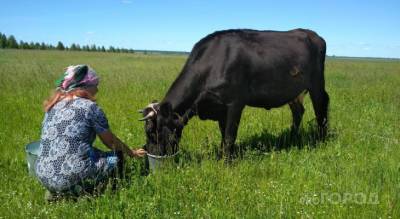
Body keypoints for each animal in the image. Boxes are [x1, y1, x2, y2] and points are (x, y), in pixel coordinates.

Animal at [139, 28, 330, 159]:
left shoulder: (235, 103)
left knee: (321, 106)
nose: (152, 155)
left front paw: (226, 163)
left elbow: (230, 136)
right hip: (294, 92)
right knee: (298, 111)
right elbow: (224, 135)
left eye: (151, 132)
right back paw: (291, 137)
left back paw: (322, 139)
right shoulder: (220, 108)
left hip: (317, 84)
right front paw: (223, 156)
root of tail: (313, 34)